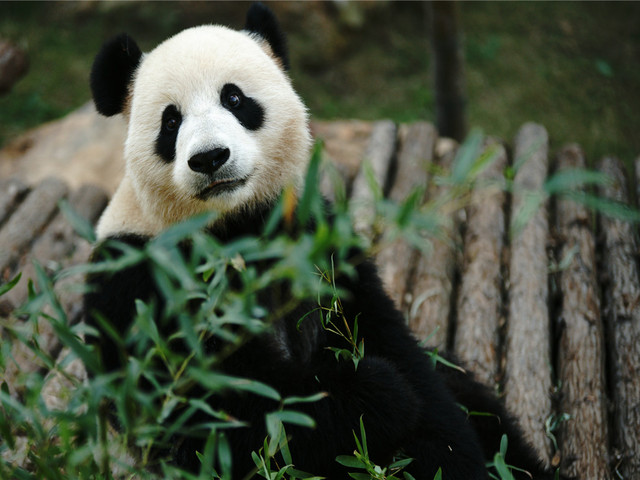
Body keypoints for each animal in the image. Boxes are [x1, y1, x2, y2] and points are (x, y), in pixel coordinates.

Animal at [84, 3, 560, 480]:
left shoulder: (316, 242)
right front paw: (374, 395)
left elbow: (397, 353)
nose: (210, 158)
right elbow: (233, 417)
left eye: (233, 99)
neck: (236, 226)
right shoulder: (142, 284)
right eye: (170, 121)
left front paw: (443, 453)